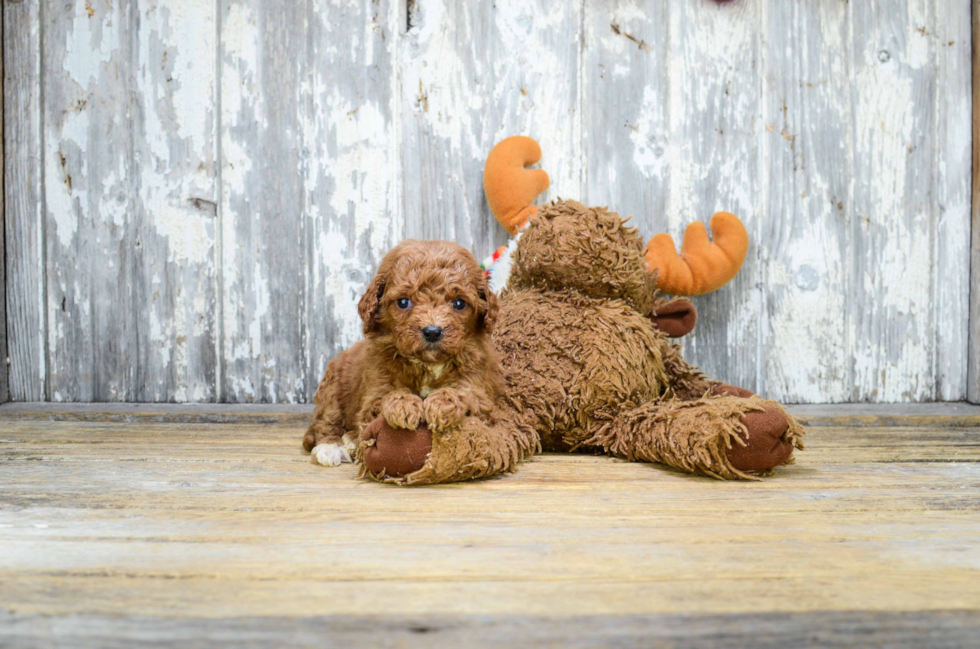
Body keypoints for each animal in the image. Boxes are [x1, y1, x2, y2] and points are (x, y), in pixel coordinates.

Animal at [302, 238, 502, 466]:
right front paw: (404, 406)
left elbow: (464, 393)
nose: (432, 331)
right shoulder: (375, 390)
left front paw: (441, 404)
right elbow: (389, 395)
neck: (427, 364)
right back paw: (331, 447)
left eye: (459, 303)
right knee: (327, 420)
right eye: (404, 302)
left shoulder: (481, 393)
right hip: (332, 384)